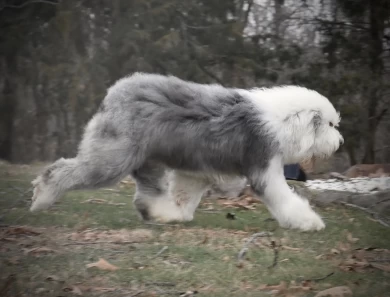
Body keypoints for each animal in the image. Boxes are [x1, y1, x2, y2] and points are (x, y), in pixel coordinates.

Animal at [30, 73, 342, 230]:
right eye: (328, 124)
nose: (339, 142)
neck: (281, 120)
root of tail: (115, 93)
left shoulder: (197, 172)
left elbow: (185, 195)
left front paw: (178, 213)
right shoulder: (264, 165)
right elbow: (282, 196)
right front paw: (309, 221)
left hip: (149, 161)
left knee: (148, 195)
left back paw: (161, 214)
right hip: (113, 157)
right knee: (60, 171)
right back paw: (42, 197)